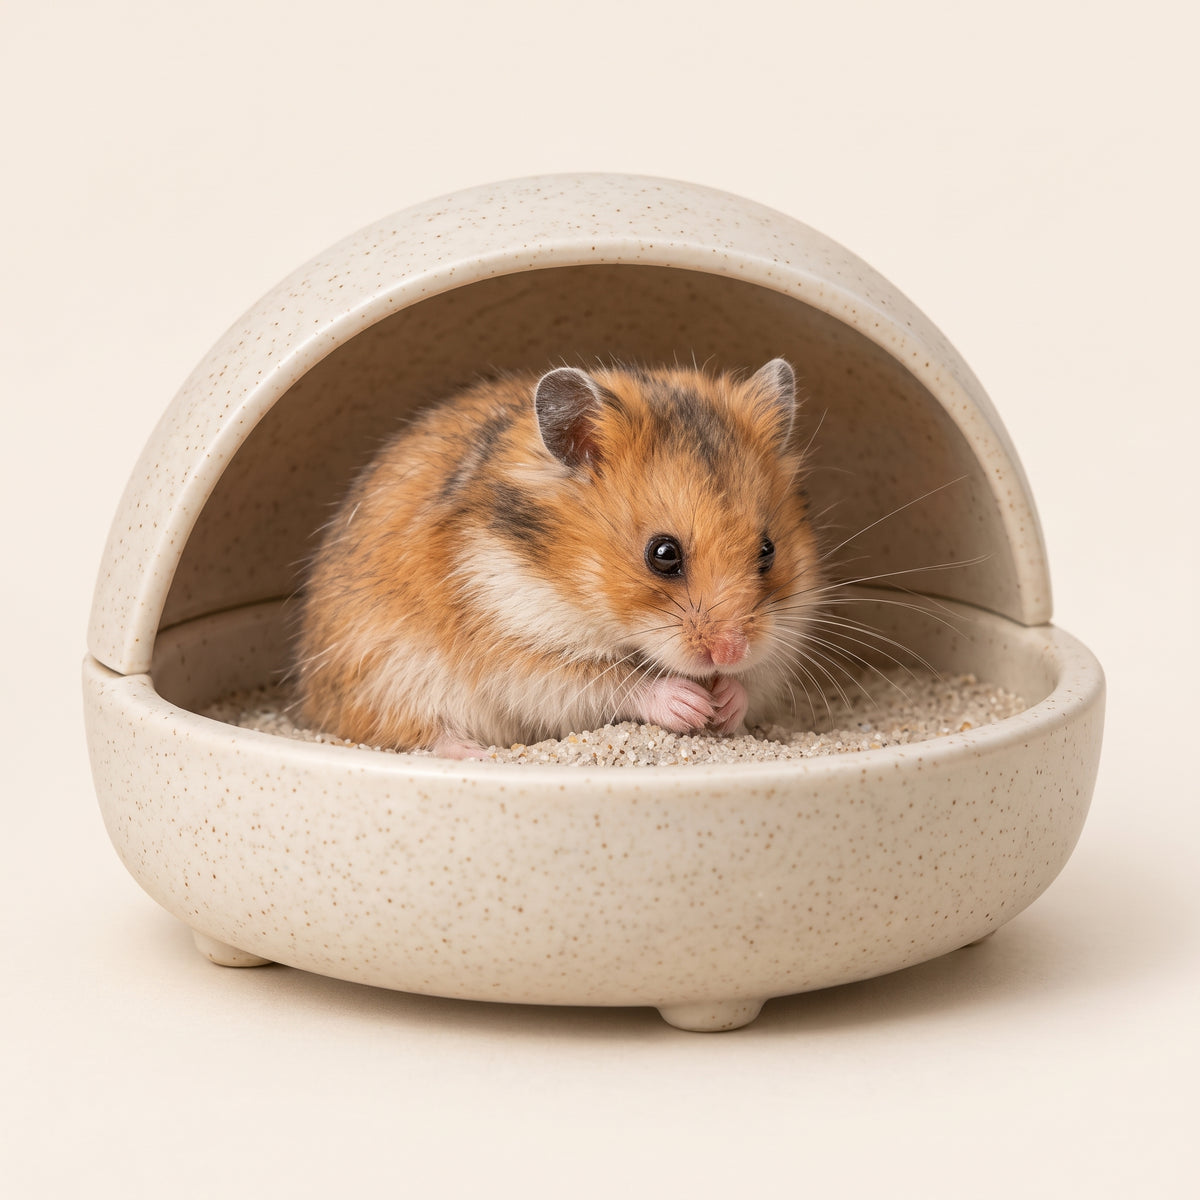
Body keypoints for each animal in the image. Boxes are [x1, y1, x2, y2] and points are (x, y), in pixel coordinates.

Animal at [294, 359, 824, 759]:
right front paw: (690, 703)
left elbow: (755, 678)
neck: (570, 583)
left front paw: (726, 703)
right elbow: (614, 682)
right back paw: (477, 755)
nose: (731, 652)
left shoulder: (785, 632)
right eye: (663, 554)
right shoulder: (520, 646)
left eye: (768, 550)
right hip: (388, 676)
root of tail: (312, 698)